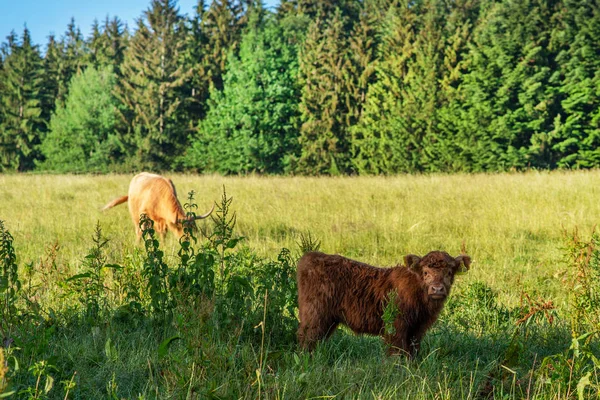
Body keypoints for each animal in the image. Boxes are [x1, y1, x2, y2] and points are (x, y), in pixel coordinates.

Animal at [298, 250, 472, 356]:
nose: (437, 289)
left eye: (449, 272)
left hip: (329, 320)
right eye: (425, 272)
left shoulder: (417, 329)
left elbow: (413, 351)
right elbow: (396, 351)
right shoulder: (396, 326)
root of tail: (311, 257)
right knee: (306, 337)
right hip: (315, 316)